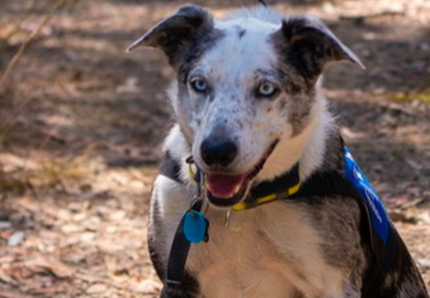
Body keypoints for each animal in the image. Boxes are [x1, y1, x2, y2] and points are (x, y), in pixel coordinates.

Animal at [127, 1, 430, 296]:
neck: (241, 210)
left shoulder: (333, 282)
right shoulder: (179, 278)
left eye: (266, 89)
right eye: (199, 84)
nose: (215, 152)